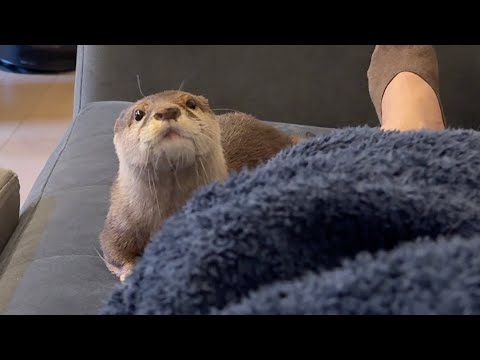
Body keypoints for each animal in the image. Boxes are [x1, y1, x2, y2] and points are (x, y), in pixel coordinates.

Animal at [101, 90, 308, 282]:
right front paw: (132, 270)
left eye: (191, 103)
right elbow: (112, 249)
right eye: (138, 114)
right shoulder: (119, 219)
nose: (167, 111)